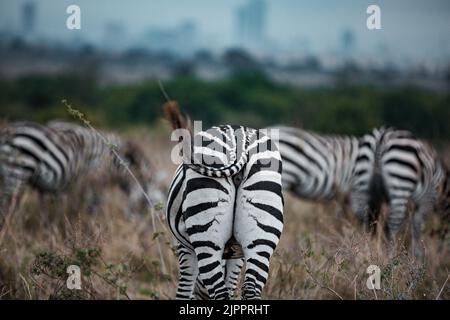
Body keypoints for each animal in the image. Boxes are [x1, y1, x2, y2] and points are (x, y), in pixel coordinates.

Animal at [165, 102, 284, 300]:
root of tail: (241, 140)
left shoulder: (185, 248)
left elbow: (185, 289)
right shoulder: (238, 254)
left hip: (206, 234)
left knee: (219, 292)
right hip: (261, 235)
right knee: (250, 289)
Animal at [376, 127, 450, 258]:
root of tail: (385, 137)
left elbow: (414, 224)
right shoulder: (428, 198)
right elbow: (418, 224)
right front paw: (418, 255)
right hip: (401, 182)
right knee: (393, 222)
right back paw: (390, 256)